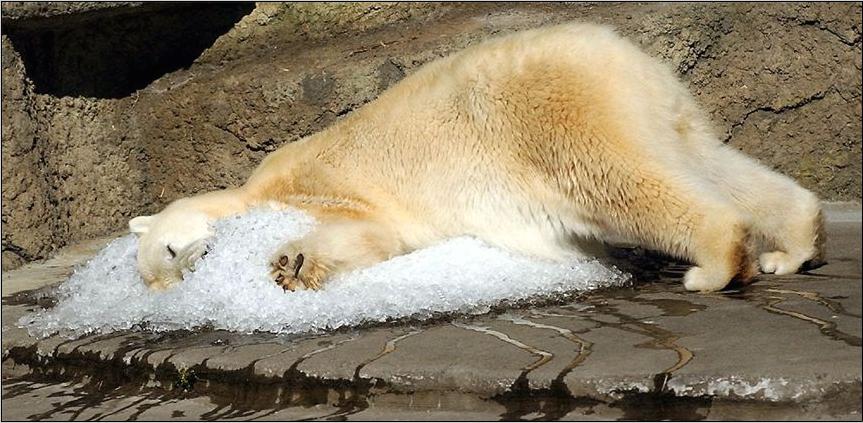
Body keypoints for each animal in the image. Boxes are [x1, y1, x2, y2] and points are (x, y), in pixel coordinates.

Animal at [126, 23, 824, 294]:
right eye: (163, 278)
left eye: (168, 250)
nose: (190, 269)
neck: (253, 192)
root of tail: (615, 51)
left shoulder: (321, 186)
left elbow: (362, 232)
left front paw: (290, 263)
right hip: (663, 112)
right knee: (711, 164)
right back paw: (789, 248)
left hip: (551, 120)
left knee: (622, 185)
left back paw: (712, 267)